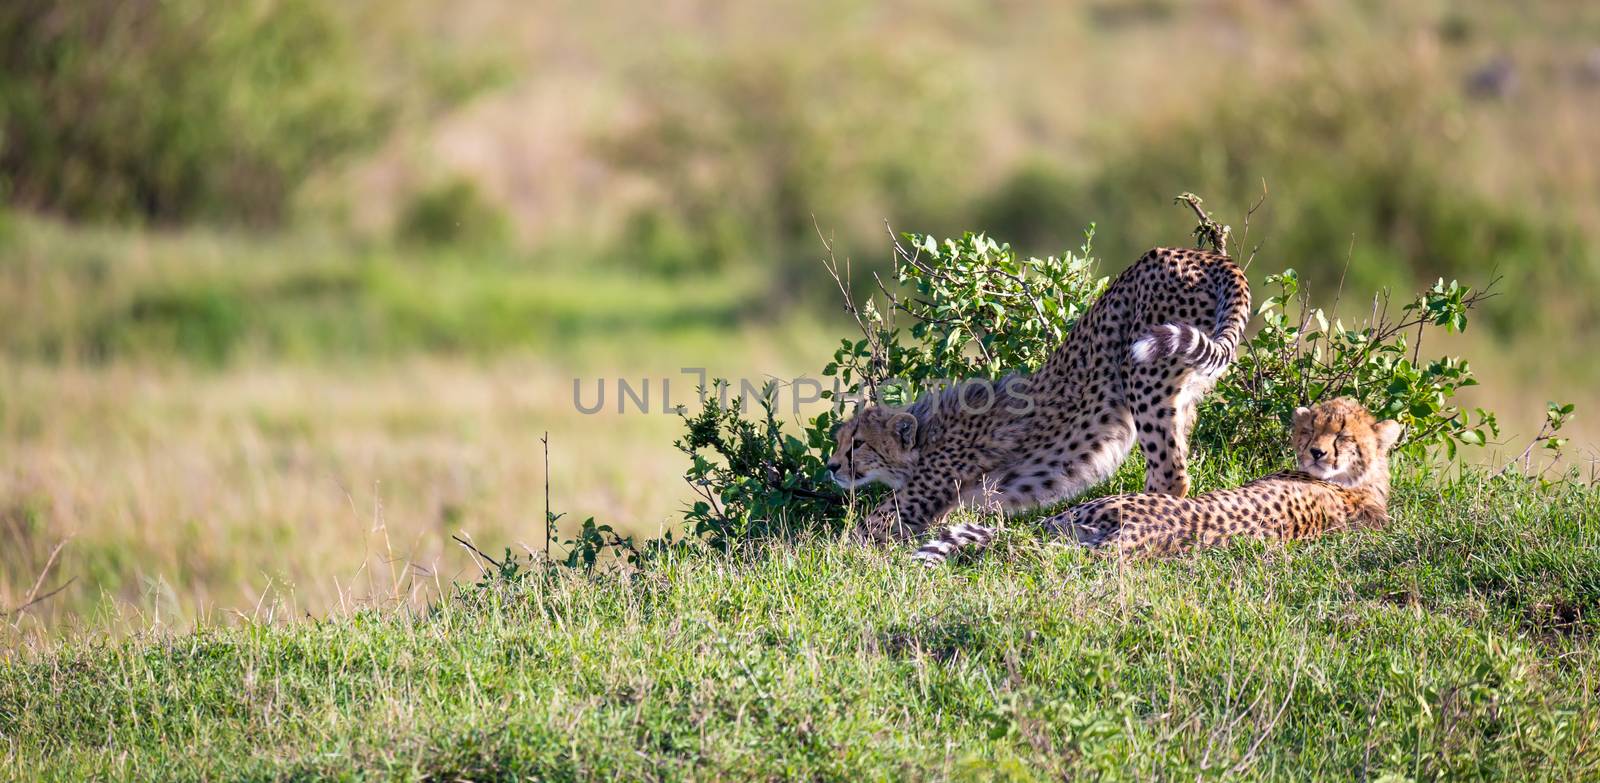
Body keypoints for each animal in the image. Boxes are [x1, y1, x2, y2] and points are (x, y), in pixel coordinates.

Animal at [832, 246, 1254, 541]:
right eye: (838, 441)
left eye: (858, 443)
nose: (832, 467)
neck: (926, 434)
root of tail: (1203, 254)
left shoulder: (917, 502)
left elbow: (856, 535)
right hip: (1185, 388)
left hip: (1144, 373)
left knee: (1170, 476)